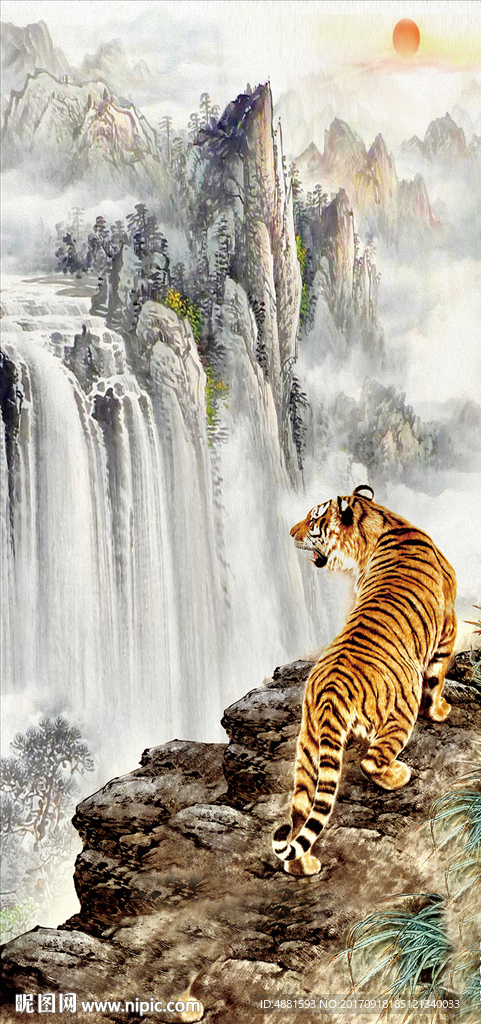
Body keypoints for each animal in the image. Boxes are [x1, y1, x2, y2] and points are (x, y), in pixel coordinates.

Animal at [272, 484, 457, 876]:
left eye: (313, 519)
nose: (291, 533)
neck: (382, 523)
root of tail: (329, 691)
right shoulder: (446, 630)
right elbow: (436, 679)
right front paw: (440, 711)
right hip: (399, 713)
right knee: (372, 762)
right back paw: (400, 775)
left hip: (308, 749)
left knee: (300, 815)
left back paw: (304, 866)